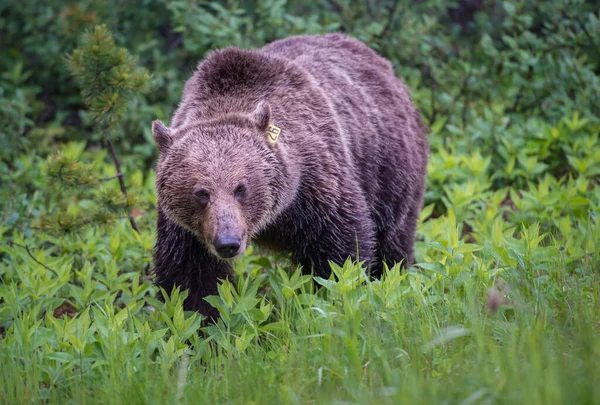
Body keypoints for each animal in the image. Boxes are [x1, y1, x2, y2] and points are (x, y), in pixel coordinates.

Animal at [152, 33, 428, 320]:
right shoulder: (185, 228)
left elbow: (340, 253)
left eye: (241, 188)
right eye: (201, 193)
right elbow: (189, 276)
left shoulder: (316, 187)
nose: (227, 242)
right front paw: (202, 319)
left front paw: (334, 298)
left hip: (391, 169)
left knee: (393, 239)